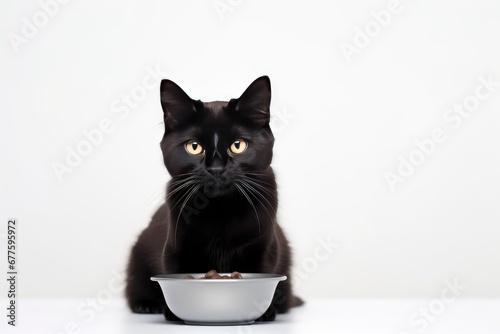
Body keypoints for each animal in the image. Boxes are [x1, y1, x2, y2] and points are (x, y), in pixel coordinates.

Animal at [127, 75, 302, 320]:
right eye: (194, 147)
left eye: (238, 145)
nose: (216, 169)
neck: (221, 210)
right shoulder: (176, 246)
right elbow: (174, 267)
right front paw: (173, 313)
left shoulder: (264, 246)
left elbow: (264, 268)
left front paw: (263, 311)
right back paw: (147, 305)